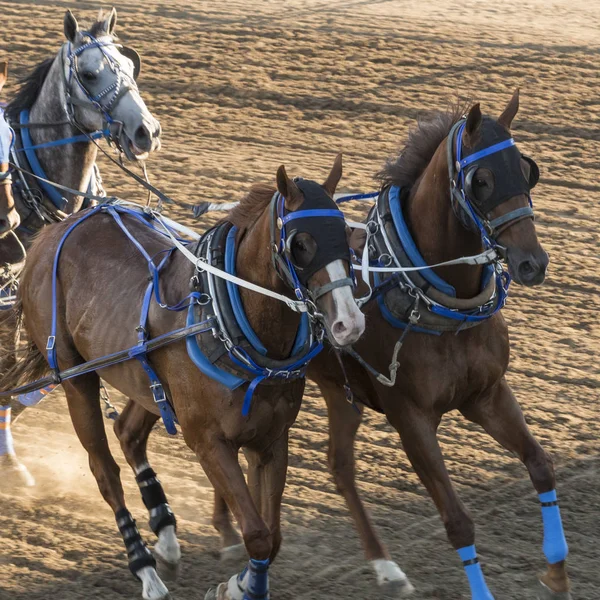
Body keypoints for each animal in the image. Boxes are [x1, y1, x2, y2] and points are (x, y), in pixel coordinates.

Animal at [0, 157, 366, 600]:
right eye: (300, 244)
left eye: (346, 234)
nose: (350, 323)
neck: (228, 319)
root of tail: (51, 234)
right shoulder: (208, 440)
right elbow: (257, 534)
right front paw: (238, 586)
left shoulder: (271, 440)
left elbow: (273, 536)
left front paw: (242, 582)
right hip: (76, 379)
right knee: (105, 471)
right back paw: (146, 572)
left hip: (144, 381)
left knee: (128, 433)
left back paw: (167, 533)